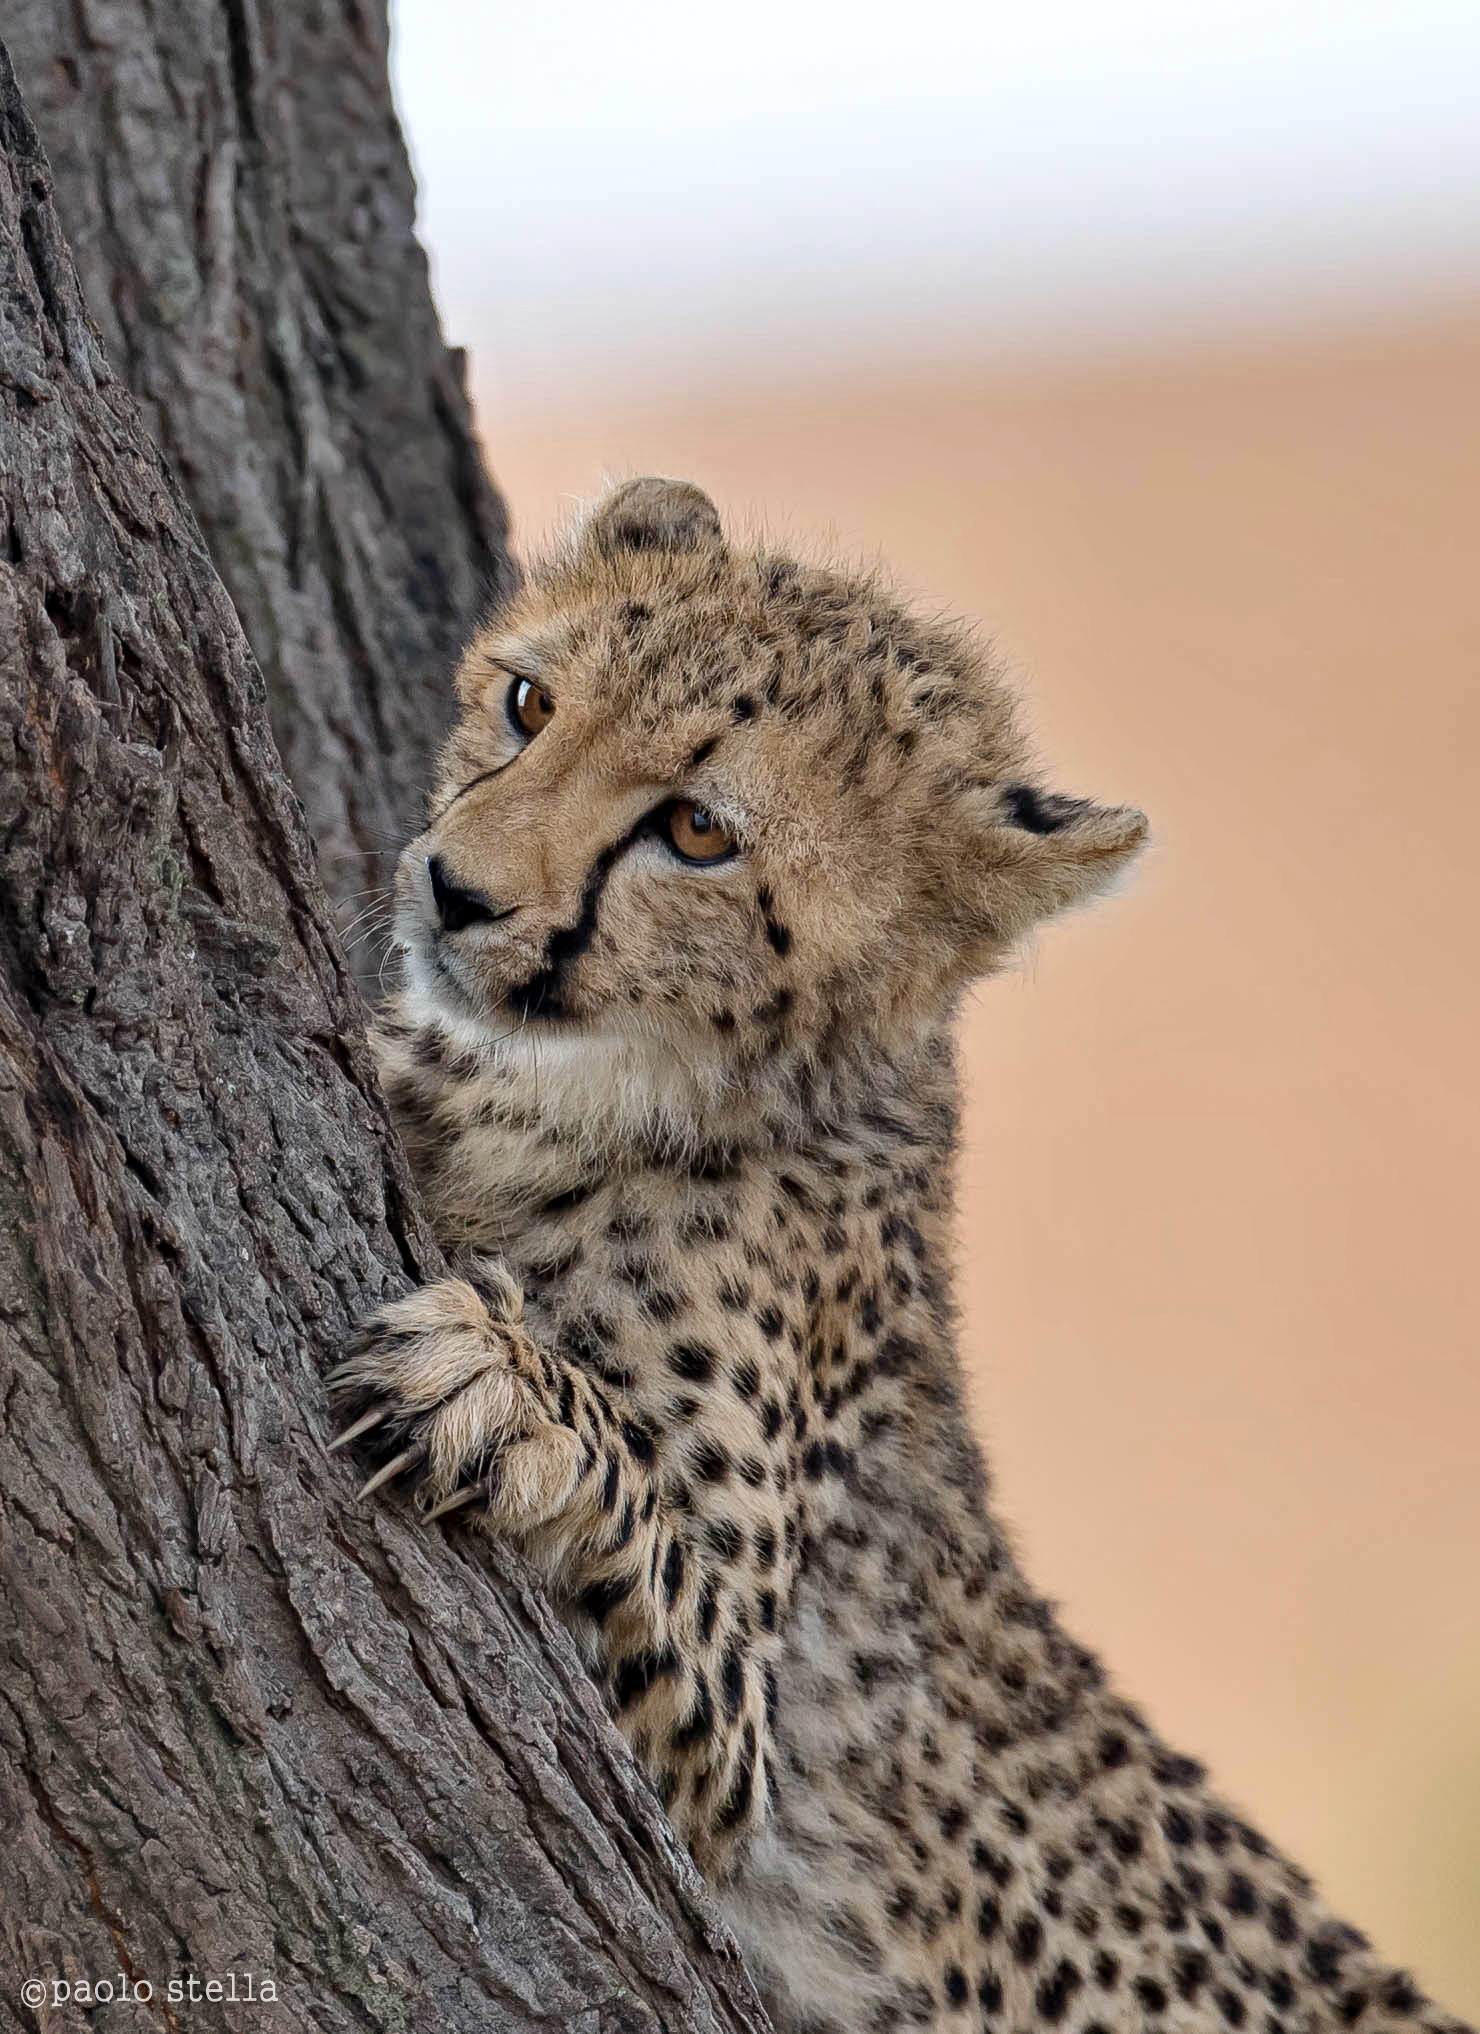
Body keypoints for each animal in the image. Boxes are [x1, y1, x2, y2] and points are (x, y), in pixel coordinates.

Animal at [331, 476, 1473, 2034]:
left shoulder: (736, 1771)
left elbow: (630, 1499)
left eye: (697, 831)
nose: (455, 890)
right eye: (527, 701)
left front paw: (504, 1391)